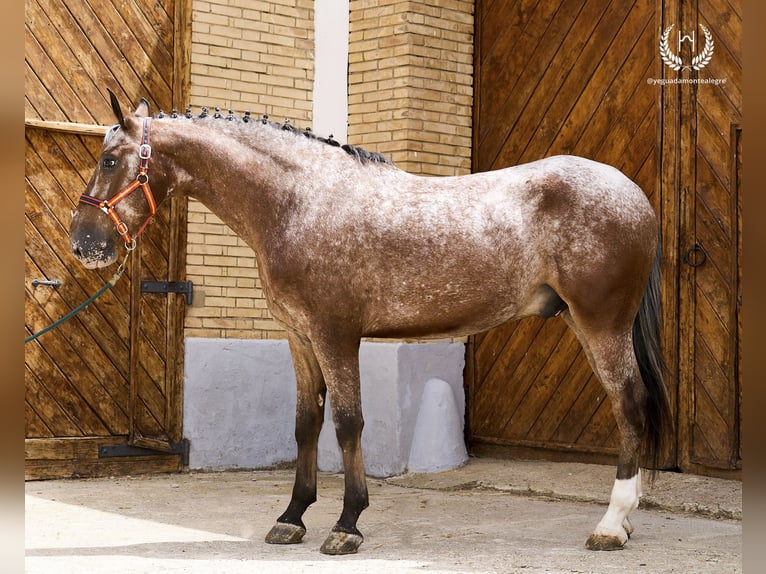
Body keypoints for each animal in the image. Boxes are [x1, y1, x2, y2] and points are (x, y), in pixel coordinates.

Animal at [70, 93, 672, 560]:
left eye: (110, 159)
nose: (83, 244)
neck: (298, 201)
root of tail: (633, 195)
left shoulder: (336, 335)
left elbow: (347, 423)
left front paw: (347, 525)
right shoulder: (300, 338)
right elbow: (305, 425)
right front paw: (292, 517)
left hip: (601, 323)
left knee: (629, 404)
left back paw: (611, 525)